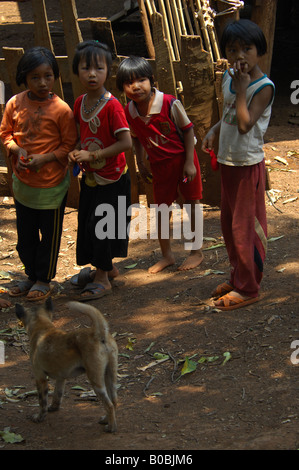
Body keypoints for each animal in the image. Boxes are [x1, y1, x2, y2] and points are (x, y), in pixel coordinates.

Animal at [15, 300, 118, 432]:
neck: (42, 327)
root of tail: (99, 334)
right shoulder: (61, 378)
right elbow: (57, 395)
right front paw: (53, 408)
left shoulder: (40, 378)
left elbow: (42, 402)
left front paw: (39, 417)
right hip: (110, 377)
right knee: (114, 401)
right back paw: (106, 420)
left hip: (96, 382)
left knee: (109, 405)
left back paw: (111, 427)